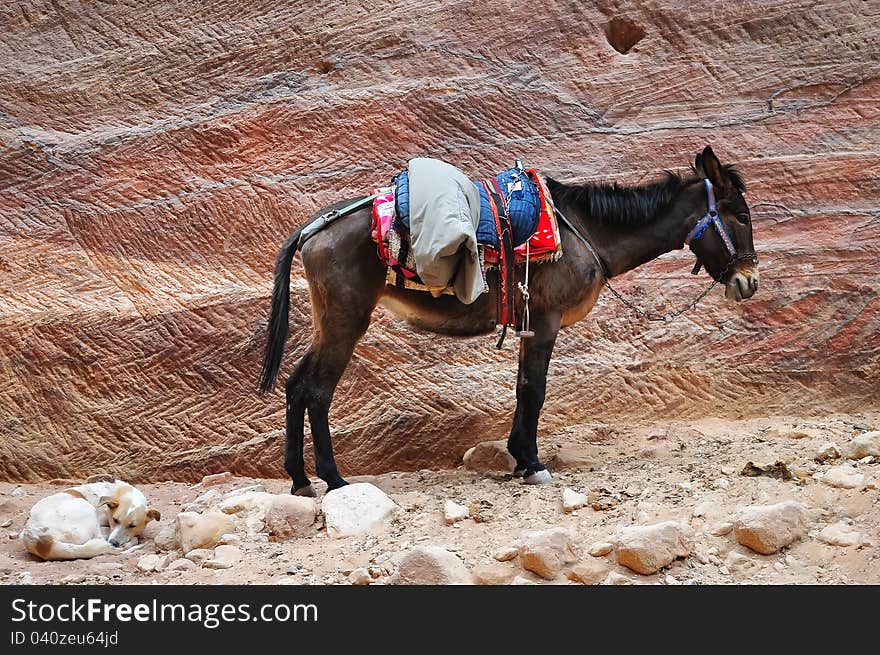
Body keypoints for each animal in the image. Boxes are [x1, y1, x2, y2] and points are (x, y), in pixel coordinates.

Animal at [20, 476, 160, 564]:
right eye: (115, 520)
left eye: (132, 526)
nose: (114, 543)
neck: (120, 492)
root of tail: (41, 540)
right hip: (85, 507)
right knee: (101, 541)